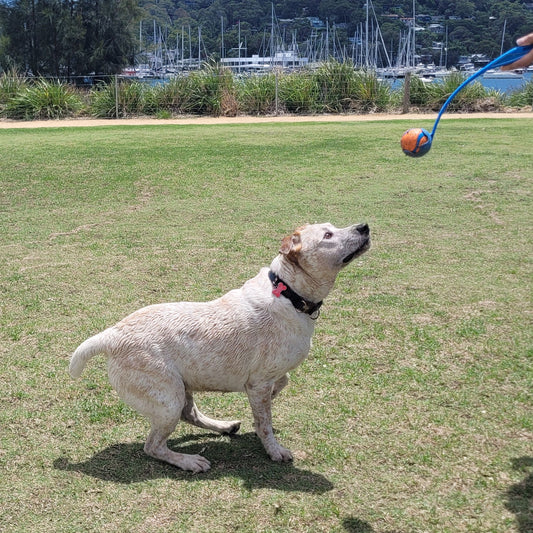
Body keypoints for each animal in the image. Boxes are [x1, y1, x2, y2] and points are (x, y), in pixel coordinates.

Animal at [69, 222, 370, 472]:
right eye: (327, 235)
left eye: (333, 225)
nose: (364, 226)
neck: (288, 293)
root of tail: (111, 334)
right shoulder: (259, 382)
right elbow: (265, 422)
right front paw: (274, 450)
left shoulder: (266, 379)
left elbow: (280, 386)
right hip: (167, 398)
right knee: (153, 446)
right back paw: (189, 461)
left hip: (180, 389)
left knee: (189, 414)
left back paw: (224, 426)